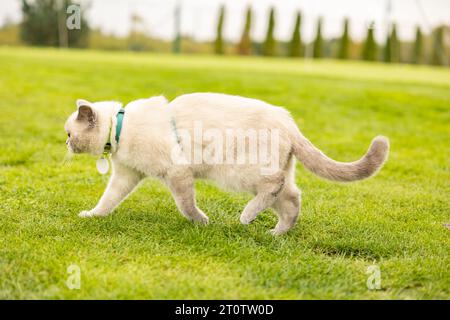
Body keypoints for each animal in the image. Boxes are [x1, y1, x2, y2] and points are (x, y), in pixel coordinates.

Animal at [65, 92, 388, 235]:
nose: (65, 144)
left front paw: (201, 222)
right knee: (293, 199)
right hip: (271, 176)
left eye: (69, 133)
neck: (120, 128)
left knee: (274, 187)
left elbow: (186, 205)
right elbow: (107, 200)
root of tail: (289, 123)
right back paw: (276, 233)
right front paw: (92, 216)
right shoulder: (127, 175)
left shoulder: (177, 173)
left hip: (239, 172)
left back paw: (246, 217)